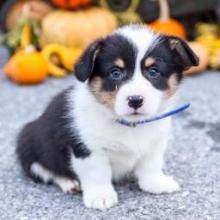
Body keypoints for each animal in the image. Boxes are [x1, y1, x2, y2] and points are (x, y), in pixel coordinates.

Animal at [16, 24, 199, 210]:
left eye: (154, 71)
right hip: (28, 143)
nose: (135, 100)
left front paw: (156, 184)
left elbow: (151, 165)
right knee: (46, 171)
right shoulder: (88, 148)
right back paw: (69, 183)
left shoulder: (155, 143)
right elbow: (98, 173)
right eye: (115, 73)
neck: (130, 125)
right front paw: (101, 196)